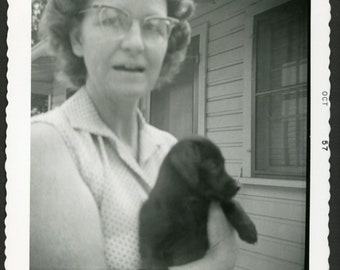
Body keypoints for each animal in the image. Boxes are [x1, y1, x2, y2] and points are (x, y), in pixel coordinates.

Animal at [139, 137, 256, 270]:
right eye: (214, 165)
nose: (238, 186)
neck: (192, 202)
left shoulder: (214, 200)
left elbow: (233, 204)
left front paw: (249, 229)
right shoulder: (151, 235)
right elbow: (152, 257)